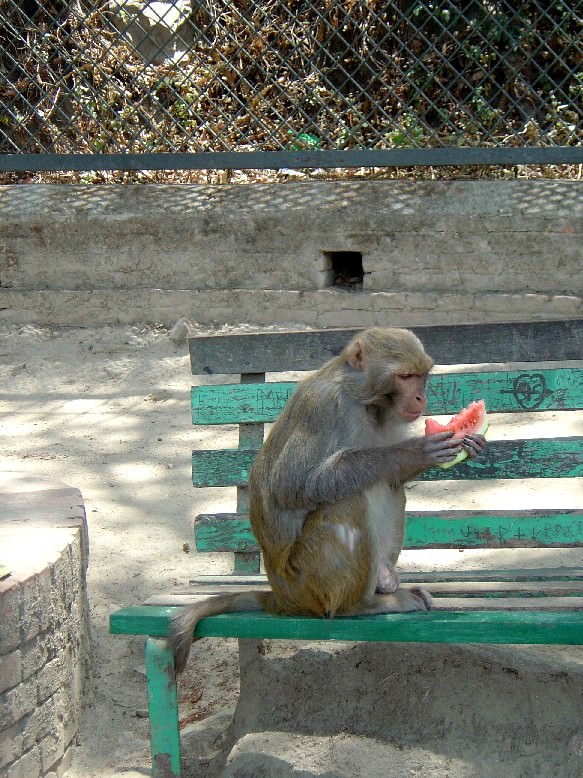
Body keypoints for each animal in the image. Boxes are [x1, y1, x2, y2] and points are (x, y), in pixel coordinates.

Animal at [169, 324, 488, 668]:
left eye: (421, 375)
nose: (421, 396)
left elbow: (394, 476)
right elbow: (291, 485)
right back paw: (361, 605)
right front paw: (413, 452)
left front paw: (471, 444)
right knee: (348, 499)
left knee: (389, 486)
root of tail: (283, 597)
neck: (364, 401)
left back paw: (384, 582)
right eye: (404, 376)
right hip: (308, 579)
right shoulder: (325, 406)